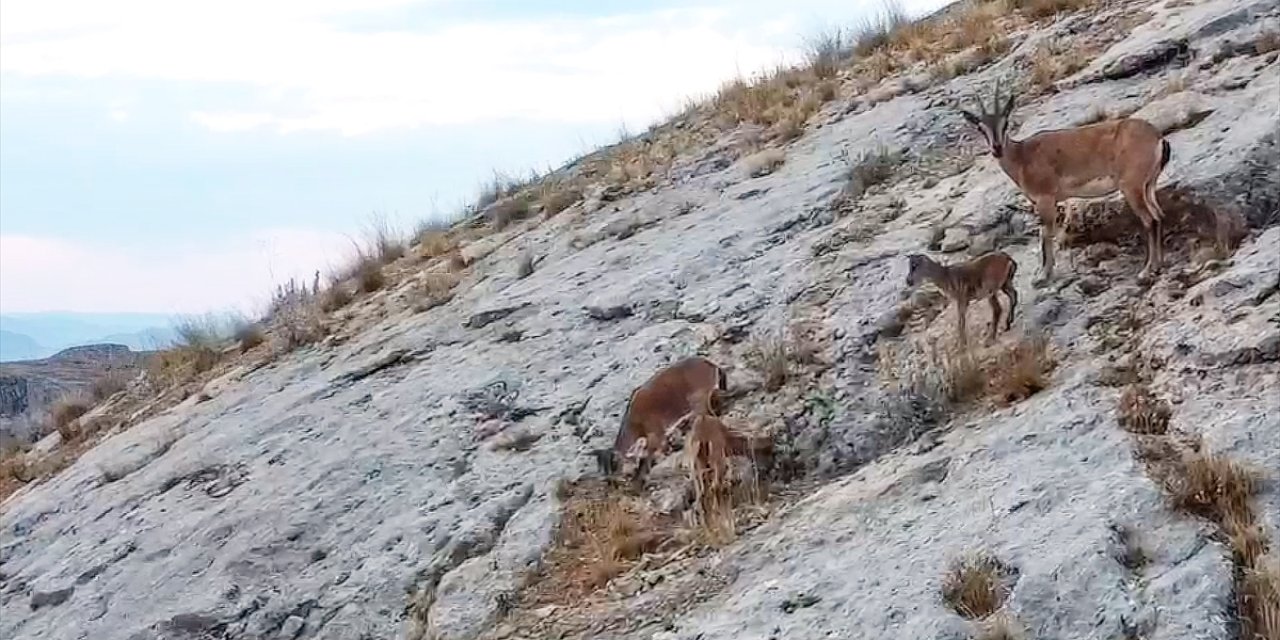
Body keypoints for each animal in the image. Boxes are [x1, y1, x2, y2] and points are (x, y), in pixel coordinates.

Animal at [591, 355, 727, 483]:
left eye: (616, 465)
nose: (622, 478)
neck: (635, 423)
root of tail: (710, 364)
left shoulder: (655, 432)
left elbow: (653, 454)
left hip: (699, 396)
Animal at [962, 78, 1172, 284]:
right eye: (981, 128)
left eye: (1005, 123)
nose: (997, 148)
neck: (1022, 157)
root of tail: (1157, 138)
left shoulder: (1045, 198)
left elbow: (1045, 234)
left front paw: (1043, 275)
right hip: (1148, 185)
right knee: (1159, 215)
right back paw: (1158, 265)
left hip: (1132, 186)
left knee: (1149, 219)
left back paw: (1146, 270)